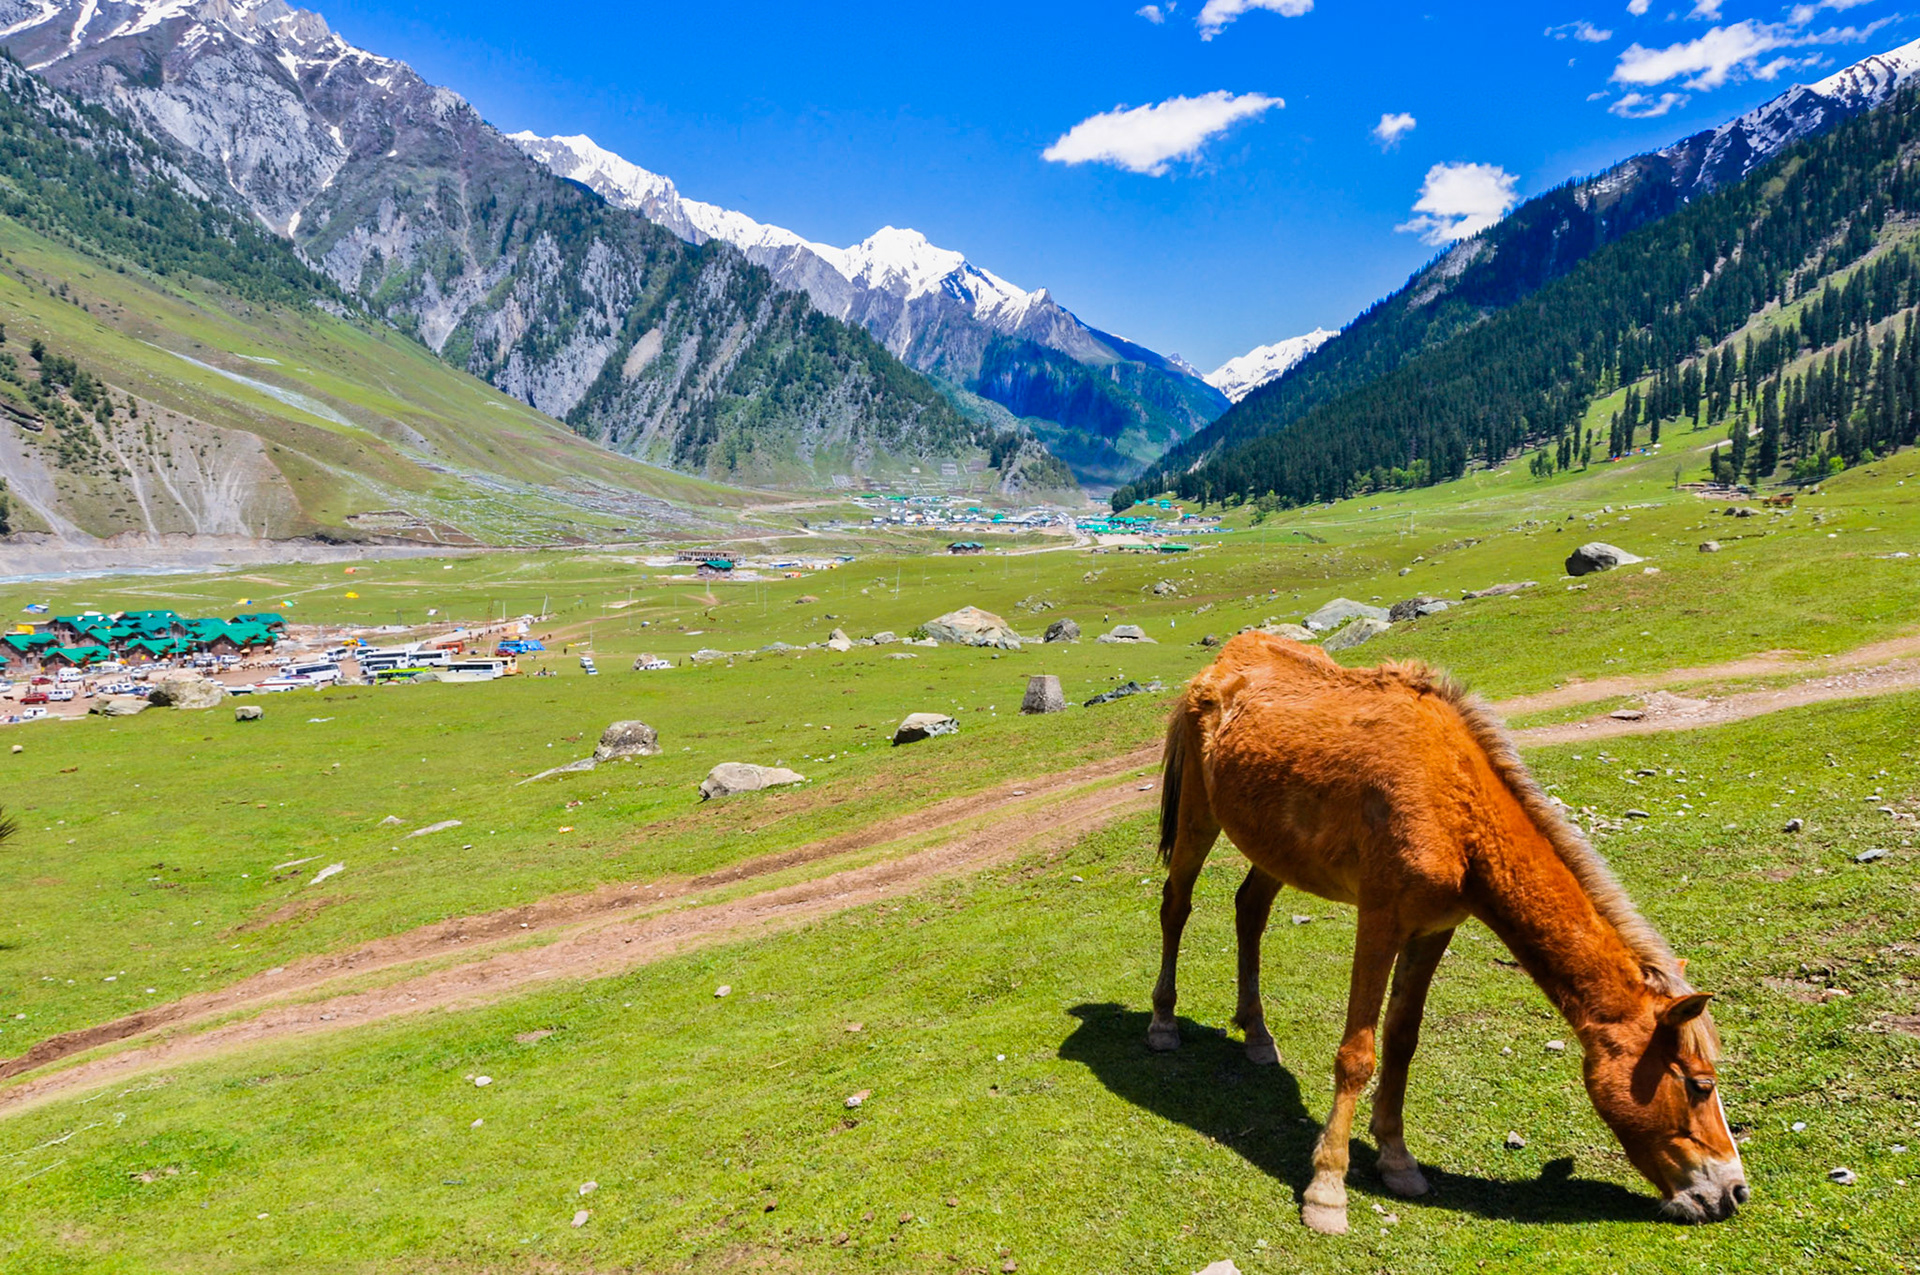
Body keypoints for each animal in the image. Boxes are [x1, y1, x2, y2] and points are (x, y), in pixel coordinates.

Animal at [1150, 633, 1746, 1234]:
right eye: (1700, 1084)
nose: (1733, 1192)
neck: (1456, 808)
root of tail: (1225, 659)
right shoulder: (1380, 920)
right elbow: (1357, 1054)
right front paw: (1327, 1191)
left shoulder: (1433, 929)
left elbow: (1401, 1040)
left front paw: (1396, 1161)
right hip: (1199, 816)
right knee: (1176, 906)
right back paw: (1163, 1024)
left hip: (1273, 846)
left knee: (1249, 911)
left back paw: (1256, 1035)